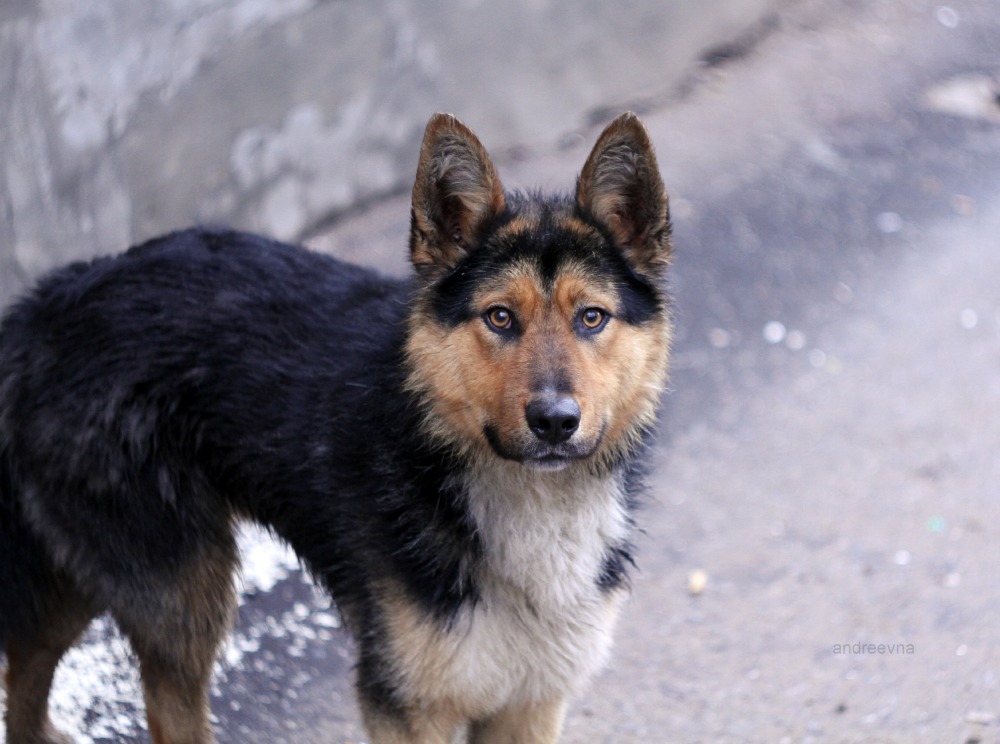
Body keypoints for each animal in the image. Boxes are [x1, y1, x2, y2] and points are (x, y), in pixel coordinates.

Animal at [1, 112, 672, 744]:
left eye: (592, 318)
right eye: (500, 317)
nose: (555, 422)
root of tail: (46, 304)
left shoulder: (530, 702)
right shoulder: (405, 705)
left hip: (92, 569)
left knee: (27, 660)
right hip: (178, 589)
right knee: (162, 709)